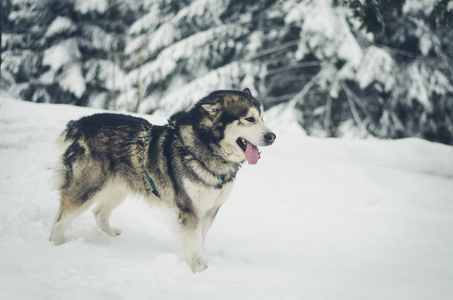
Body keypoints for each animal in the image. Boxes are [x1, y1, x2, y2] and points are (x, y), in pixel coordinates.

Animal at [49, 88, 276, 272]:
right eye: (250, 119)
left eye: (262, 118)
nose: (272, 136)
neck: (203, 149)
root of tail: (82, 122)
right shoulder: (191, 212)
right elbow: (194, 247)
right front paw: (200, 273)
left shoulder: (210, 211)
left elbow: (199, 242)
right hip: (85, 190)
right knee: (60, 221)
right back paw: (56, 248)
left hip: (117, 190)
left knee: (99, 213)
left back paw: (112, 240)